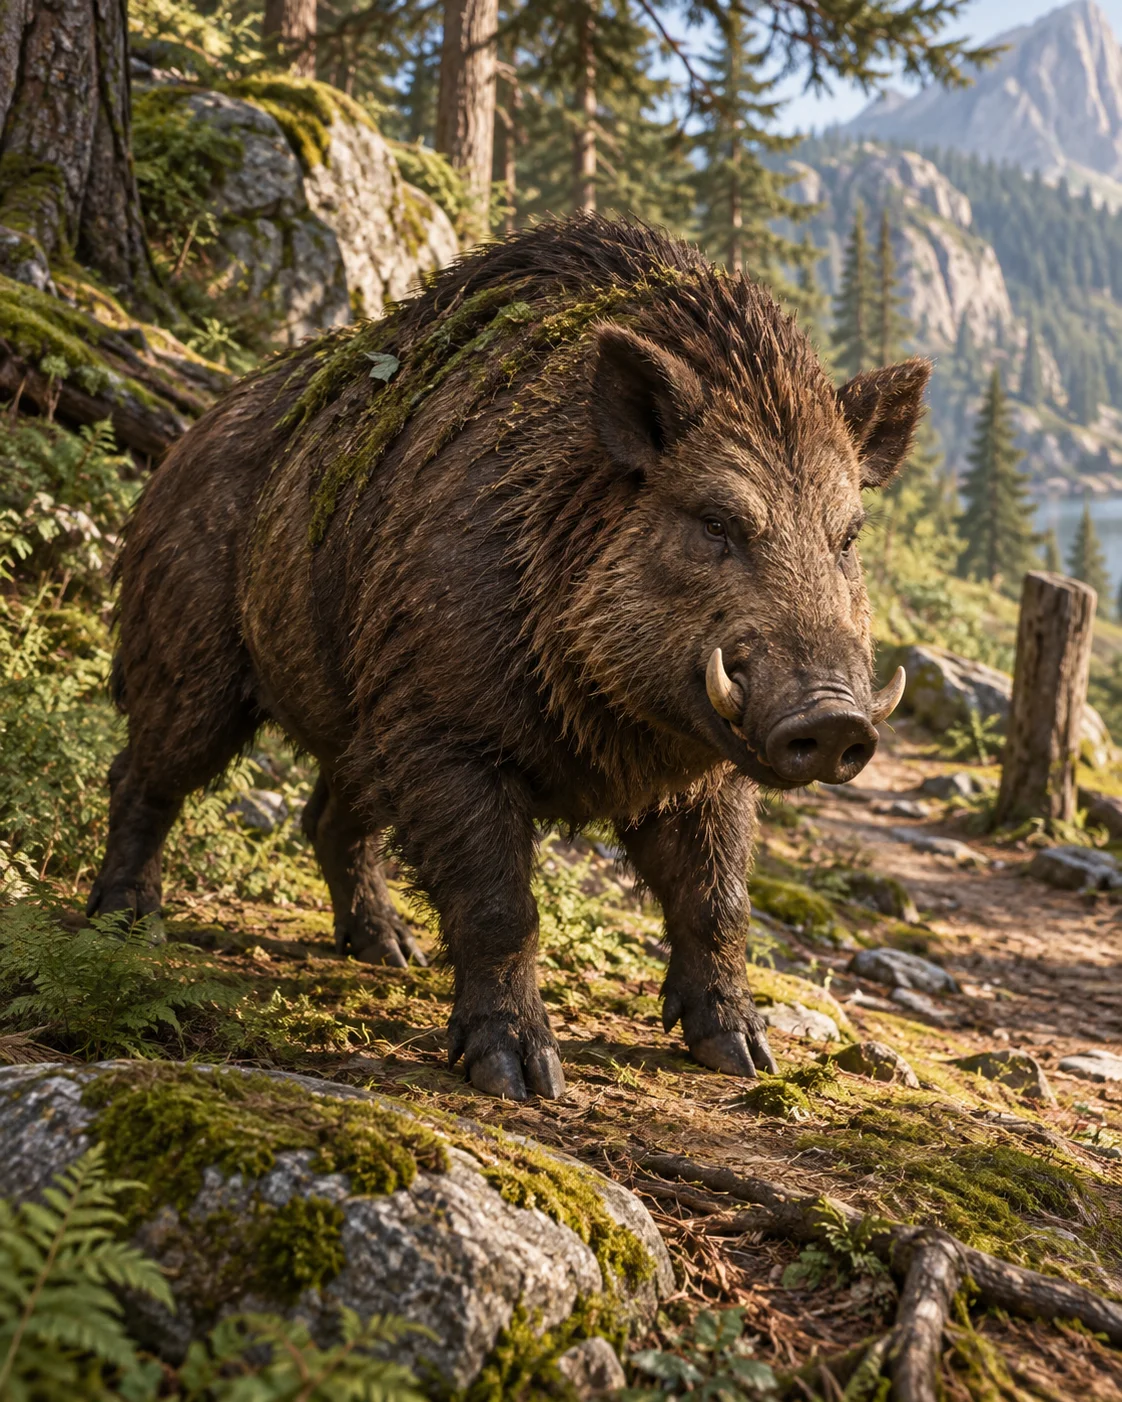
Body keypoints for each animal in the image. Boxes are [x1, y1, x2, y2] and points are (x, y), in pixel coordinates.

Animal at [89, 214, 928, 1100]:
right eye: (714, 521)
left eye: (848, 537)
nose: (836, 720)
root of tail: (185, 438)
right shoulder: (442, 727)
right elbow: (501, 904)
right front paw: (522, 1080)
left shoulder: (710, 769)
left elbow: (717, 901)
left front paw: (744, 1058)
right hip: (189, 656)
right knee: (145, 774)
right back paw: (126, 922)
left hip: (360, 718)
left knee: (329, 818)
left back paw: (391, 955)